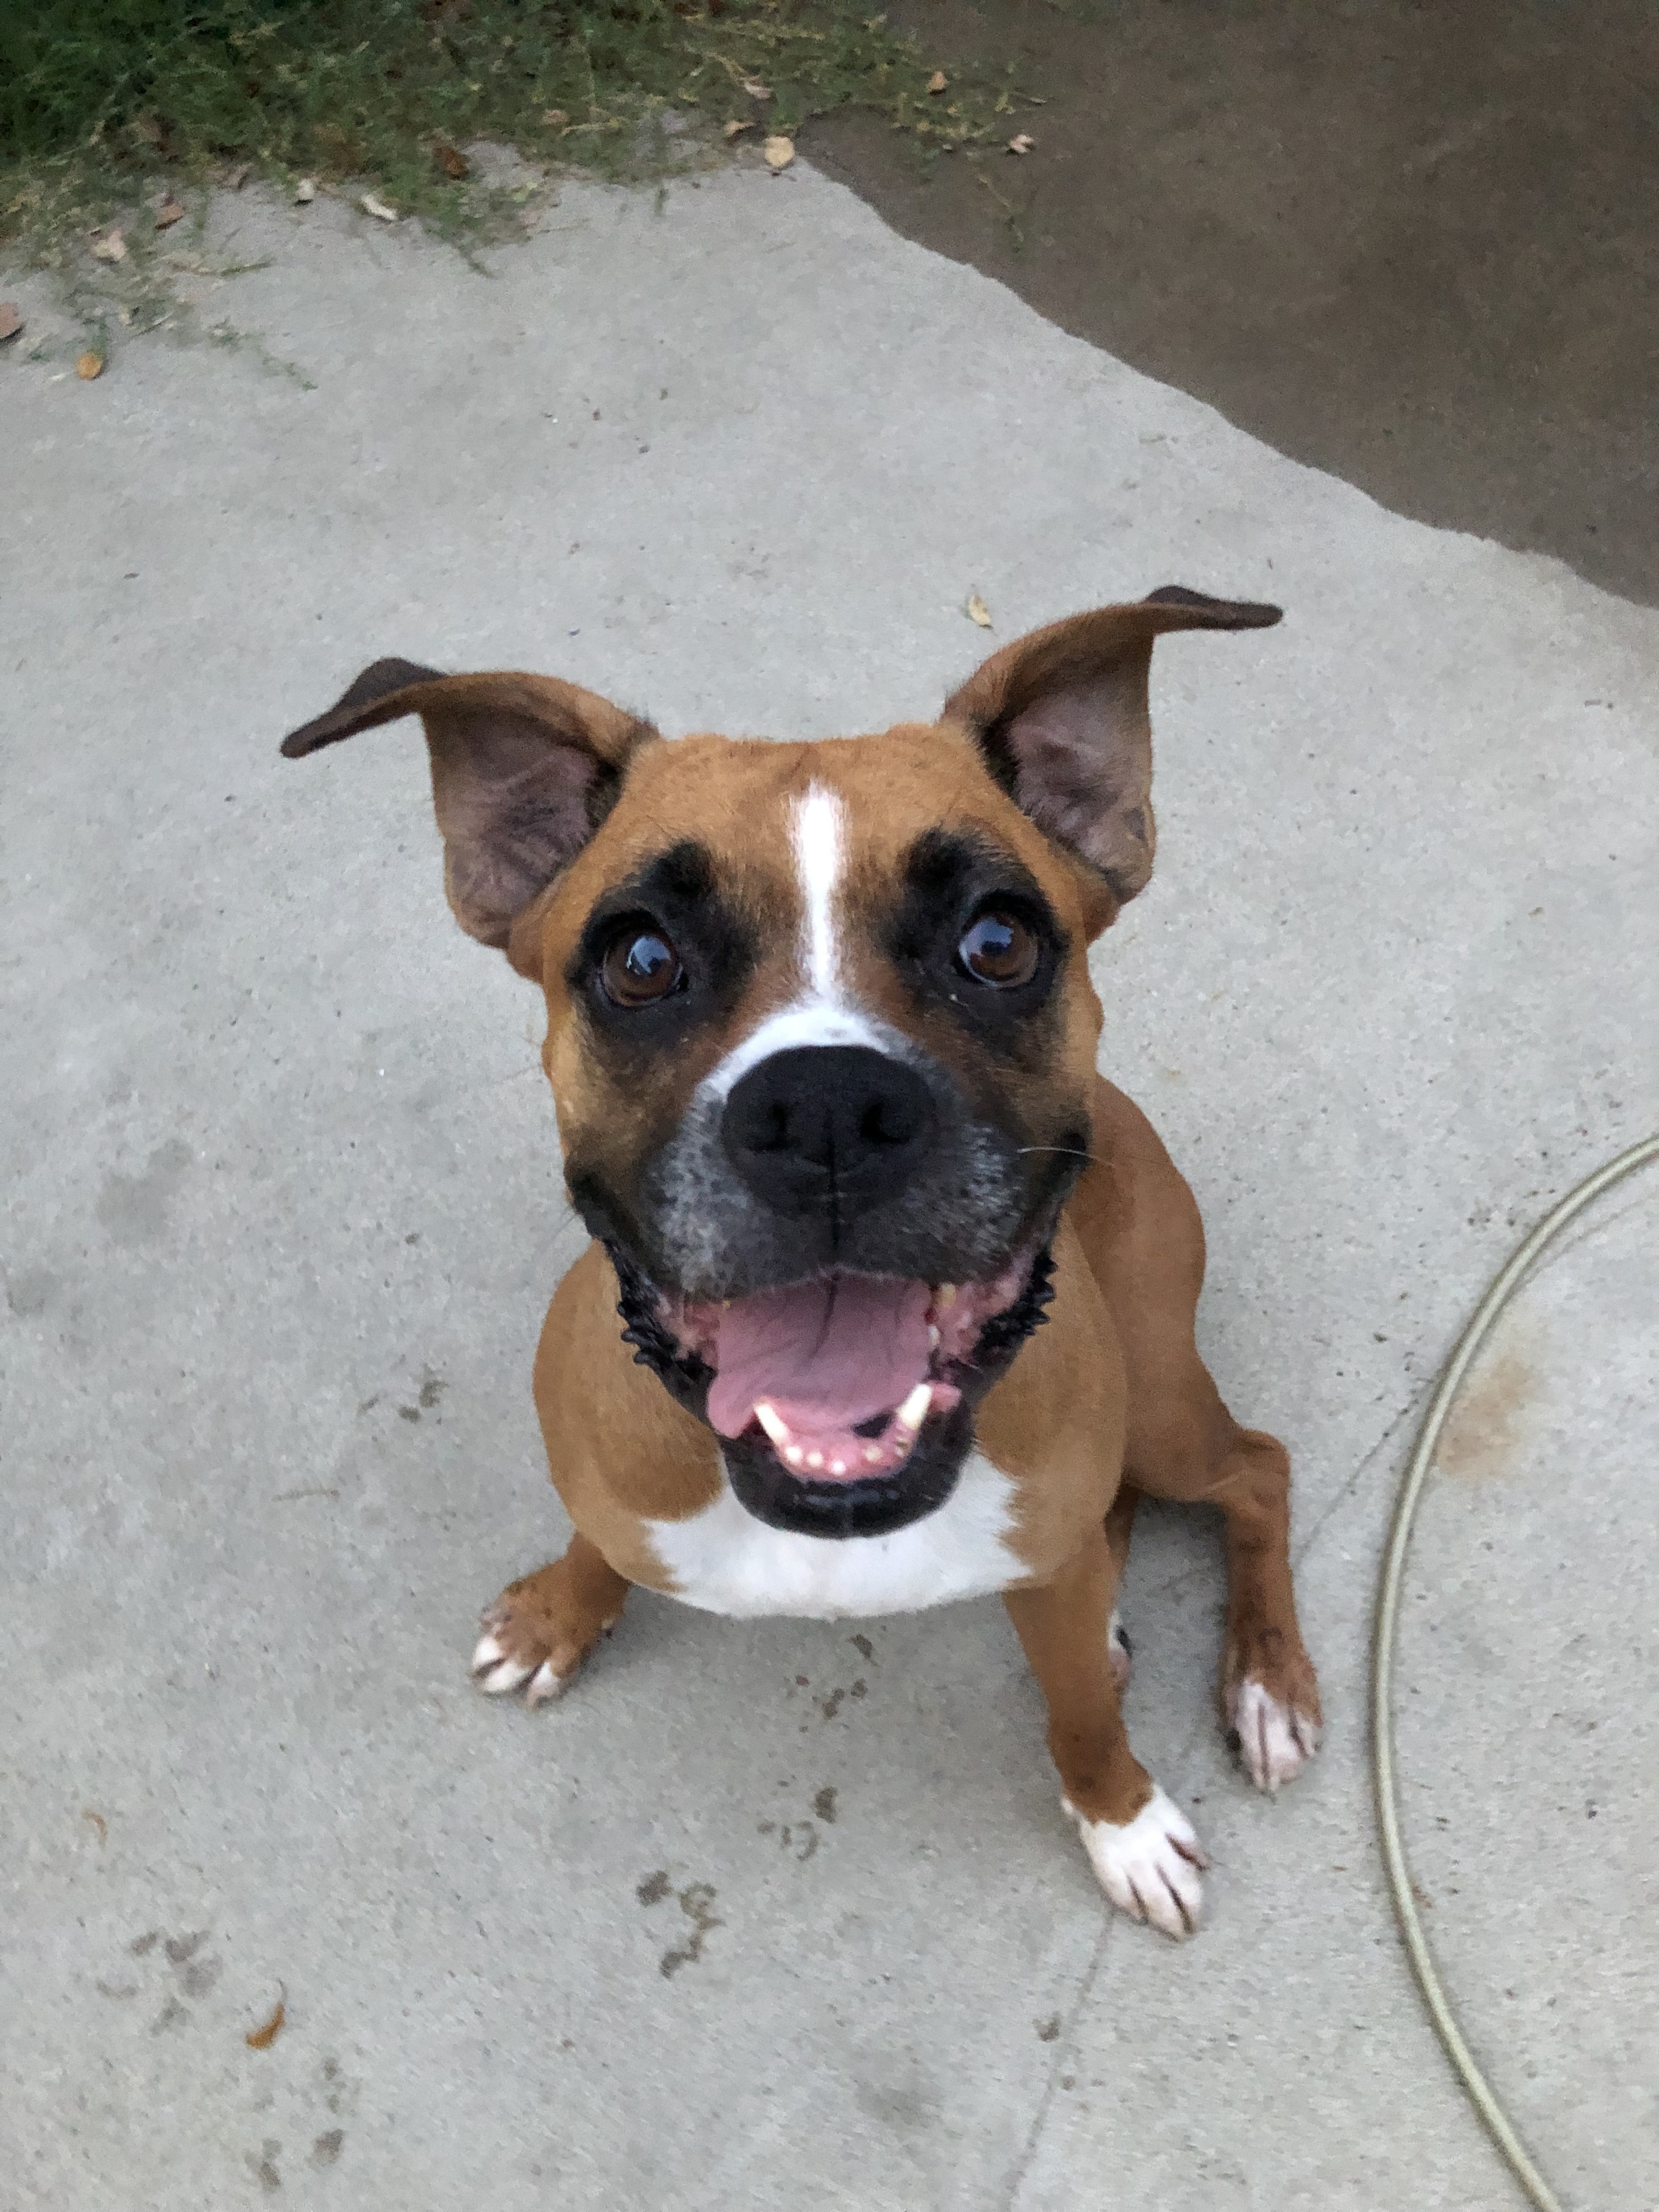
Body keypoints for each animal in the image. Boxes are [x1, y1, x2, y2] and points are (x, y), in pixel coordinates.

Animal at [283, 584, 1327, 1938]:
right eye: (639, 958)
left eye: (998, 940)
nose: (827, 1106)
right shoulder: (613, 1491)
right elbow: (595, 1544)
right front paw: (560, 1613)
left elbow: (1086, 1726)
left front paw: (1123, 1822)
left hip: (1159, 1397)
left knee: (1255, 1469)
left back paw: (1265, 1682)